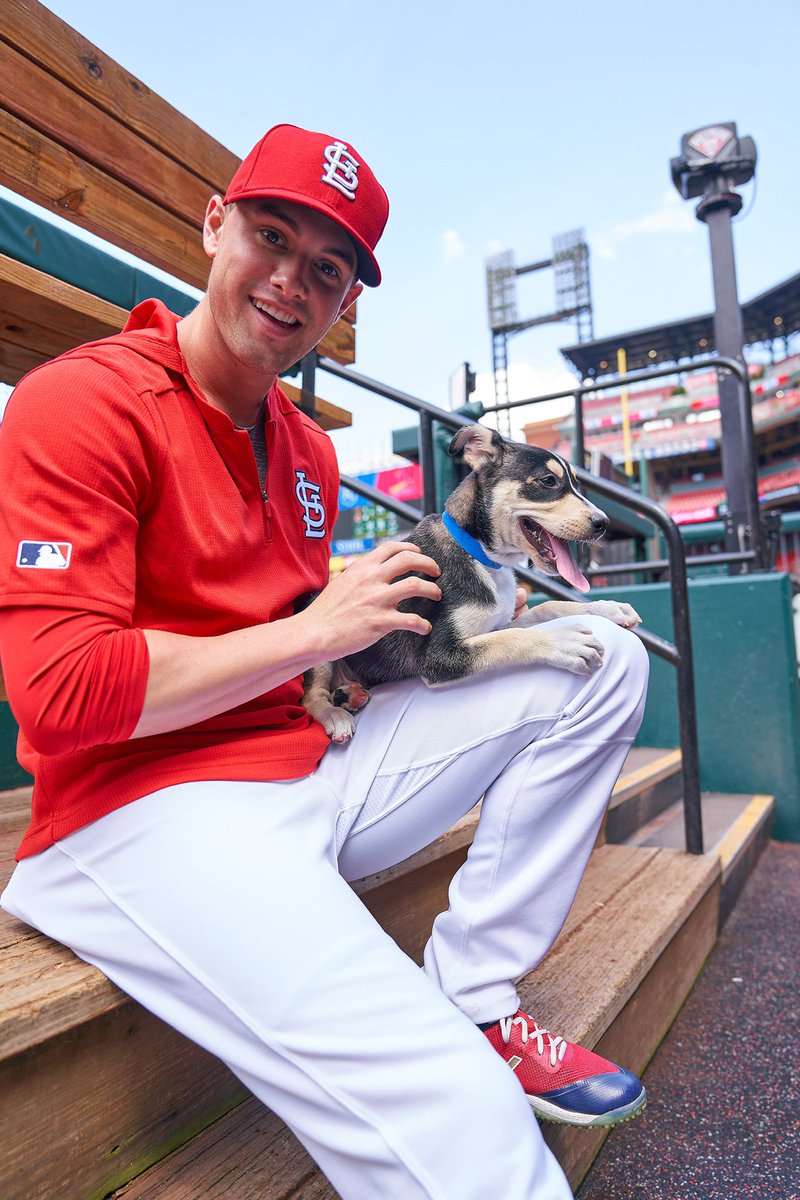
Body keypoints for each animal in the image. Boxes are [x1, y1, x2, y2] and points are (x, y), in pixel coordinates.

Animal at [303, 422, 642, 739]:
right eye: (548, 481)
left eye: (576, 484)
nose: (603, 523)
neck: (481, 556)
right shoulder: (438, 657)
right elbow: (513, 639)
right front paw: (564, 641)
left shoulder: (496, 623)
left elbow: (546, 609)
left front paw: (608, 607)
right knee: (311, 696)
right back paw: (335, 714)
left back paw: (348, 694)